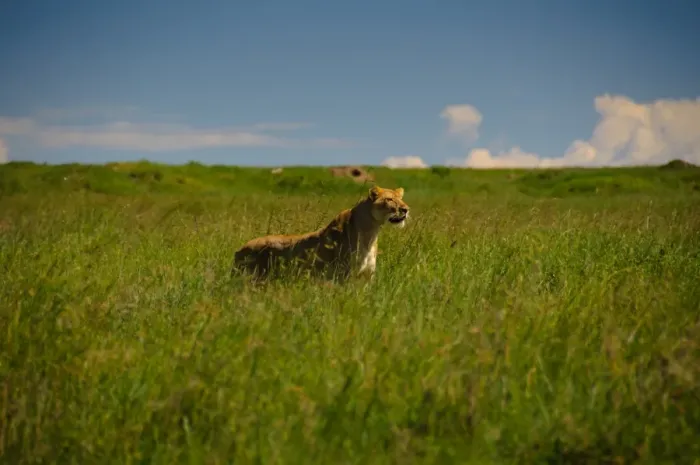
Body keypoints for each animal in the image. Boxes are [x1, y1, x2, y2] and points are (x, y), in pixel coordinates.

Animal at [232, 186, 410, 281]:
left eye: (401, 199)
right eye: (389, 200)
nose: (406, 209)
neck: (371, 232)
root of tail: (239, 249)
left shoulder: (367, 276)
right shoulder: (344, 275)